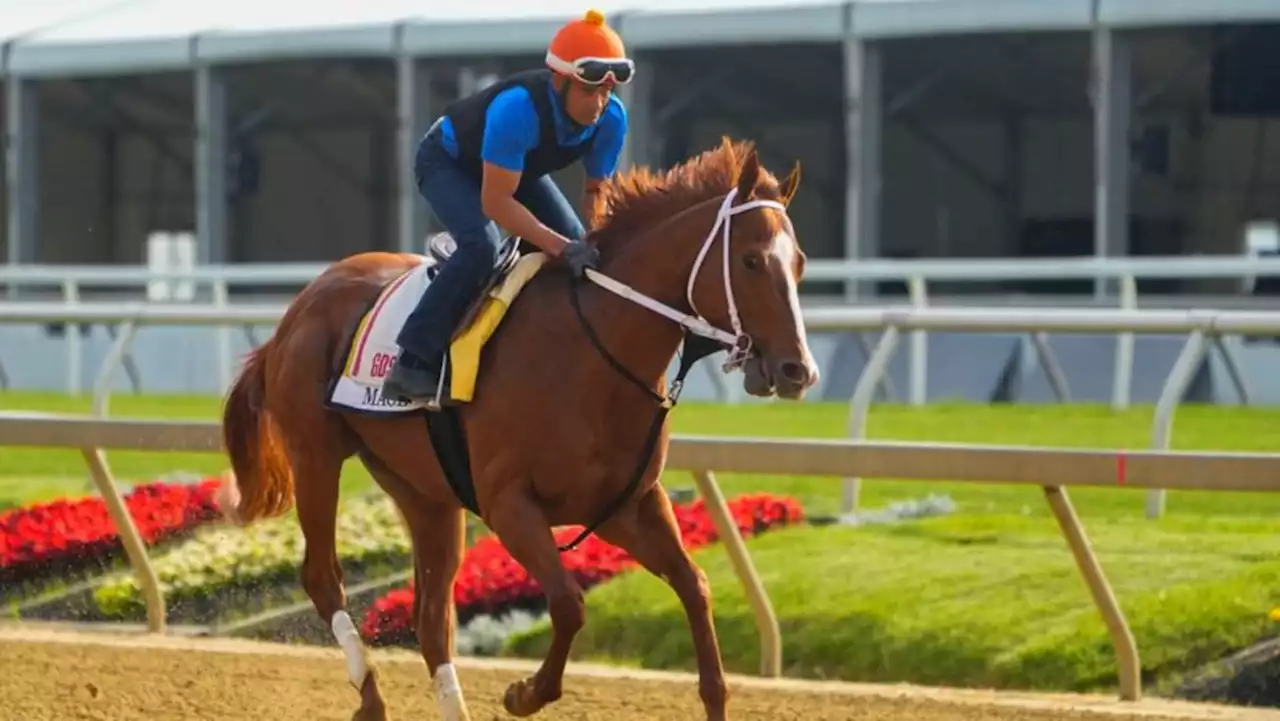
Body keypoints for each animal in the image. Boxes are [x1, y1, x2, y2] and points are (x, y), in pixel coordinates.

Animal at [217, 137, 819, 721]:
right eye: (750, 260)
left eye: (800, 264)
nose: (799, 370)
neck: (594, 351)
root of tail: (300, 306)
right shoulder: (510, 505)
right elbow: (569, 604)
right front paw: (524, 693)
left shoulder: (626, 505)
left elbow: (695, 587)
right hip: (315, 454)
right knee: (324, 579)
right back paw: (369, 698)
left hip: (423, 491)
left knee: (430, 616)